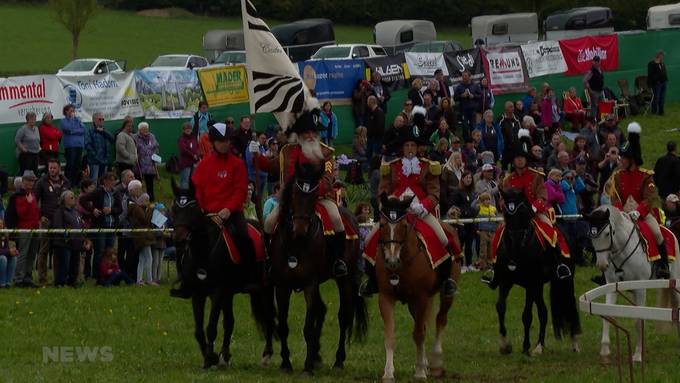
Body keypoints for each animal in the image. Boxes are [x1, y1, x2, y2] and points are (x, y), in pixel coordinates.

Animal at [173, 180, 276, 368]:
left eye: (192, 209)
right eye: (174, 208)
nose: (179, 239)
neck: (204, 251)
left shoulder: (218, 290)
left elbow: (211, 326)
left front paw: (209, 358)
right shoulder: (199, 293)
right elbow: (199, 330)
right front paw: (212, 356)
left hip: (264, 289)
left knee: (269, 317)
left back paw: (266, 354)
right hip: (229, 294)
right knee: (230, 322)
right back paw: (224, 356)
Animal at [268, 164, 370, 376]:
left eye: (314, 197)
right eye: (294, 194)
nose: (299, 229)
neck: (295, 245)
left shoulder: (309, 284)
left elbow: (308, 326)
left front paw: (306, 367)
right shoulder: (282, 286)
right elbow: (283, 325)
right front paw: (286, 363)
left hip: (344, 279)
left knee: (343, 315)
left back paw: (338, 360)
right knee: (321, 310)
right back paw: (316, 355)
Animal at [372, 196, 462, 382]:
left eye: (404, 226)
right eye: (382, 225)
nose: (392, 261)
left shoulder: (420, 298)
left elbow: (419, 334)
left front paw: (420, 371)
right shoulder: (386, 297)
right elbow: (390, 335)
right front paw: (388, 373)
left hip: (445, 295)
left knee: (440, 320)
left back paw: (435, 364)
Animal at [492, 189, 580, 356]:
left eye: (523, 212)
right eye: (506, 213)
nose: (515, 242)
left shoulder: (531, 283)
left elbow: (526, 315)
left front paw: (525, 347)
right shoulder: (506, 280)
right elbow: (500, 307)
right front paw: (504, 345)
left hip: (563, 281)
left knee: (569, 306)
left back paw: (573, 344)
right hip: (538, 287)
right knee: (543, 312)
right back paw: (540, 345)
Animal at [580, 206, 680, 364]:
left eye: (607, 233)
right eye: (591, 235)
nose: (601, 264)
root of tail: (670, 232)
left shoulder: (640, 288)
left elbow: (638, 320)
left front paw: (638, 355)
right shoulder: (612, 286)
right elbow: (608, 315)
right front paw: (605, 352)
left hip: (673, 282)